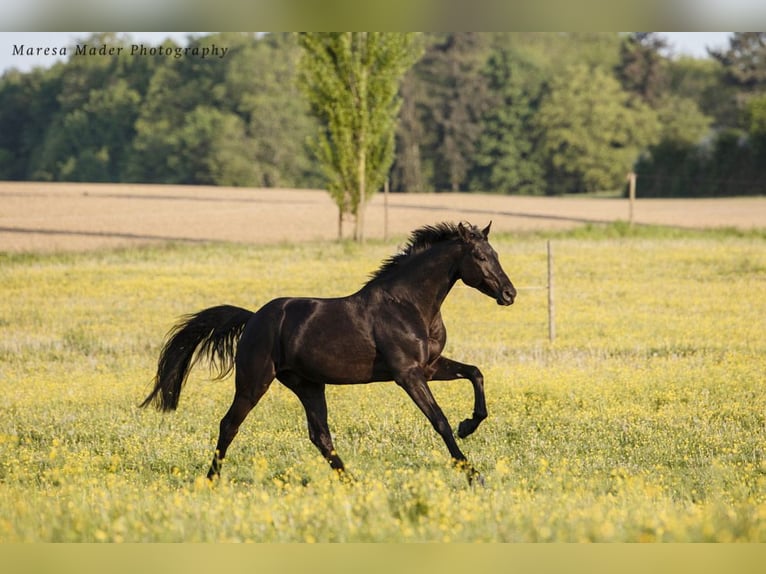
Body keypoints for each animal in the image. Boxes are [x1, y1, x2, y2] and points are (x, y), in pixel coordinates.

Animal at [142, 223, 520, 484]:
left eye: (497, 256)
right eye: (480, 257)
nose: (509, 293)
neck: (409, 305)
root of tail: (253, 319)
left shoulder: (429, 366)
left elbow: (475, 372)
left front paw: (469, 425)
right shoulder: (408, 374)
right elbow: (438, 419)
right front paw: (472, 472)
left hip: (308, 384)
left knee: (320, 435)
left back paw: (352, 481)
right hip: (254, 382)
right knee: (229, 424)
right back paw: (210, 479)